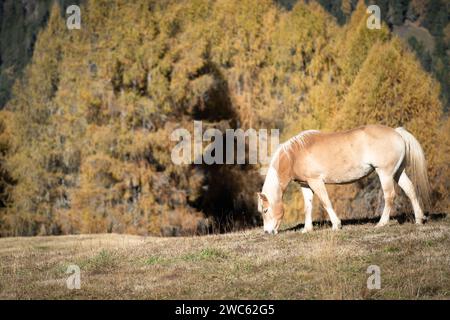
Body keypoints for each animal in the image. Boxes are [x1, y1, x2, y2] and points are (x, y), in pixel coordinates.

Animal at [256, 125, 428, 235]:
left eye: (265, 210)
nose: (267, 232)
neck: (294, 155)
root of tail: (397, 132)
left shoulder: (316, 182)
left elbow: (326, 202)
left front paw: (336, 225)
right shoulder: (305, 185)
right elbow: (308, 207)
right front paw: (307, 229)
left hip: (384, 173)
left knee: (390, 196)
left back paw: (382, 223)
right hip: (398, 172)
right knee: (410, 190)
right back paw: (419, 219)